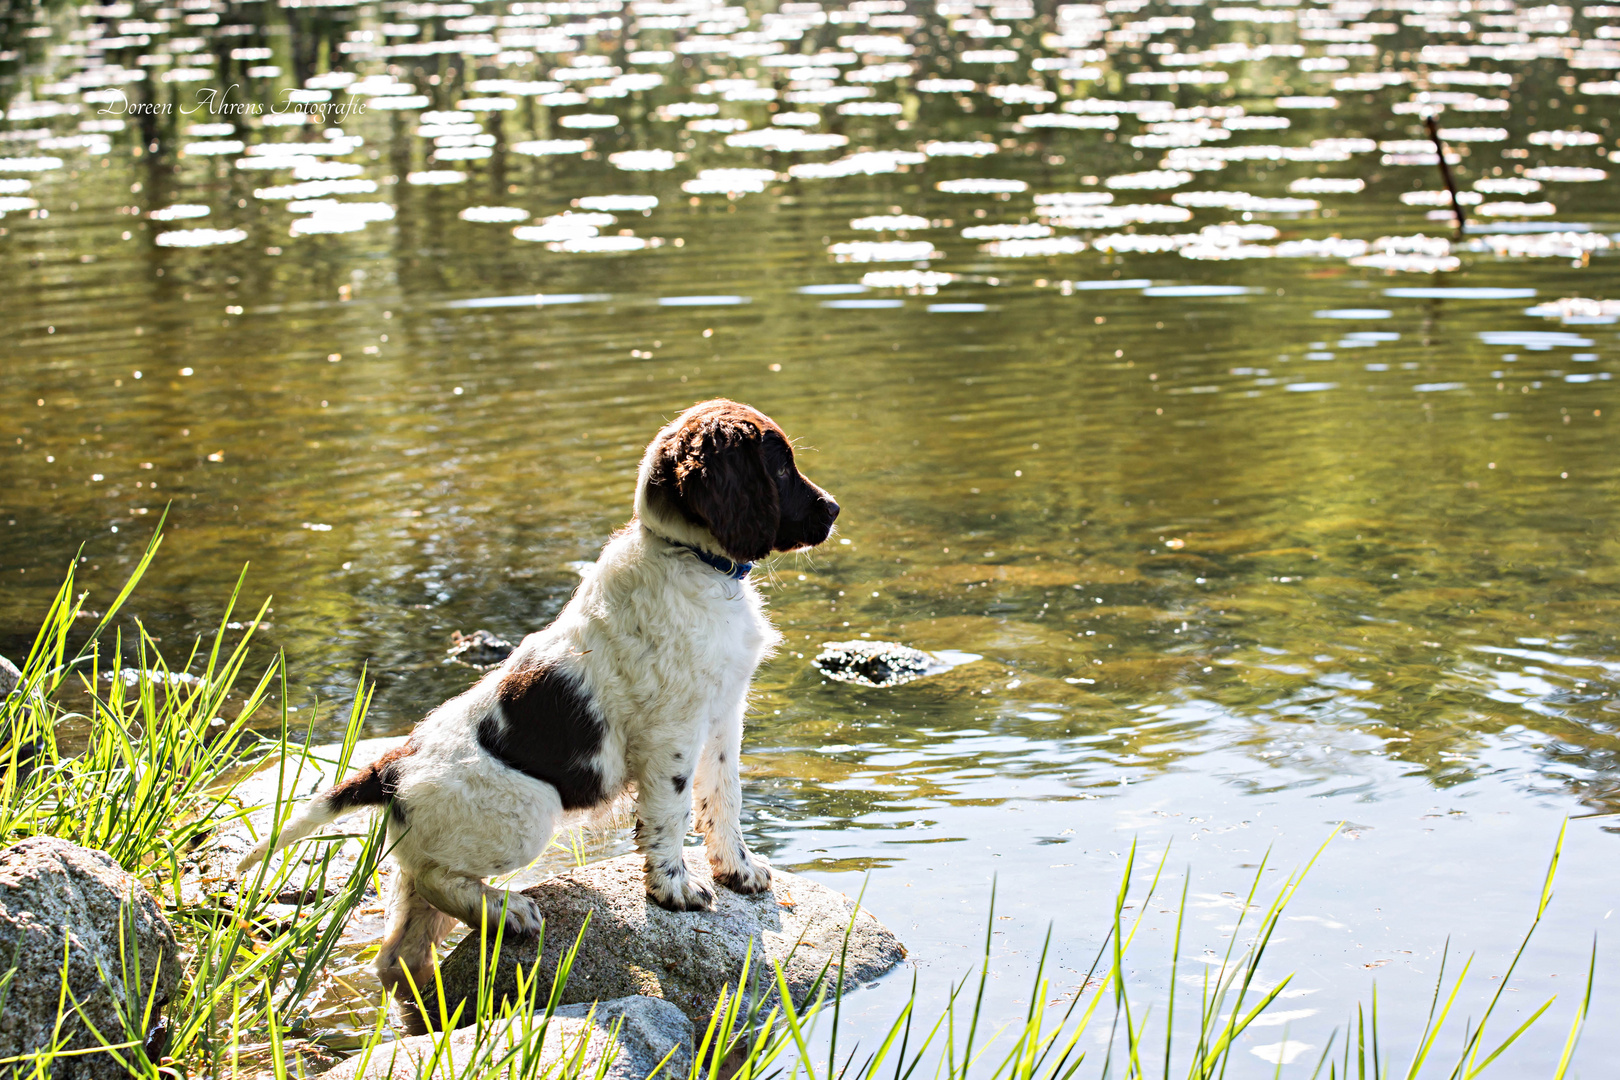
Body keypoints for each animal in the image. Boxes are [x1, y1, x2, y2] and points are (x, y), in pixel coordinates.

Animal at [243, 401, 848, 990]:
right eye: (779, 467)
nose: (835, 509)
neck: (688, 559)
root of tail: (392, 765)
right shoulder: (672, 731)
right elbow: (672, 811)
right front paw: (674, 888)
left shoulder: (722, 716)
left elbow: (724, 796)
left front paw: (738, 870)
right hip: (528, 811)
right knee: (438, 880)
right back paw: (509, 911)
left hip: (426, 847)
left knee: (401, 943)